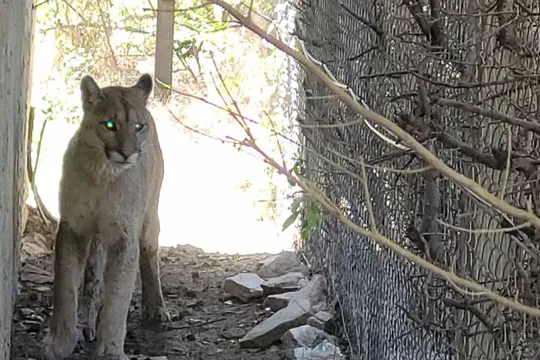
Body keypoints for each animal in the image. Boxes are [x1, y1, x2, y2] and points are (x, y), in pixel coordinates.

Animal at [43, 74, 169, 360]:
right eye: (109, 125)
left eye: (138, 126)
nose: (127, 152)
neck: (103, 173)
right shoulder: (73, 228)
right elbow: (66, 287)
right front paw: (60, 342)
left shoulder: (125, 238)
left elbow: (118, 298)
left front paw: (110, 350)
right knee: (93, 279)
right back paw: (85, 323)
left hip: (149, 219)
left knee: (150, 254)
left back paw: (155, 308)